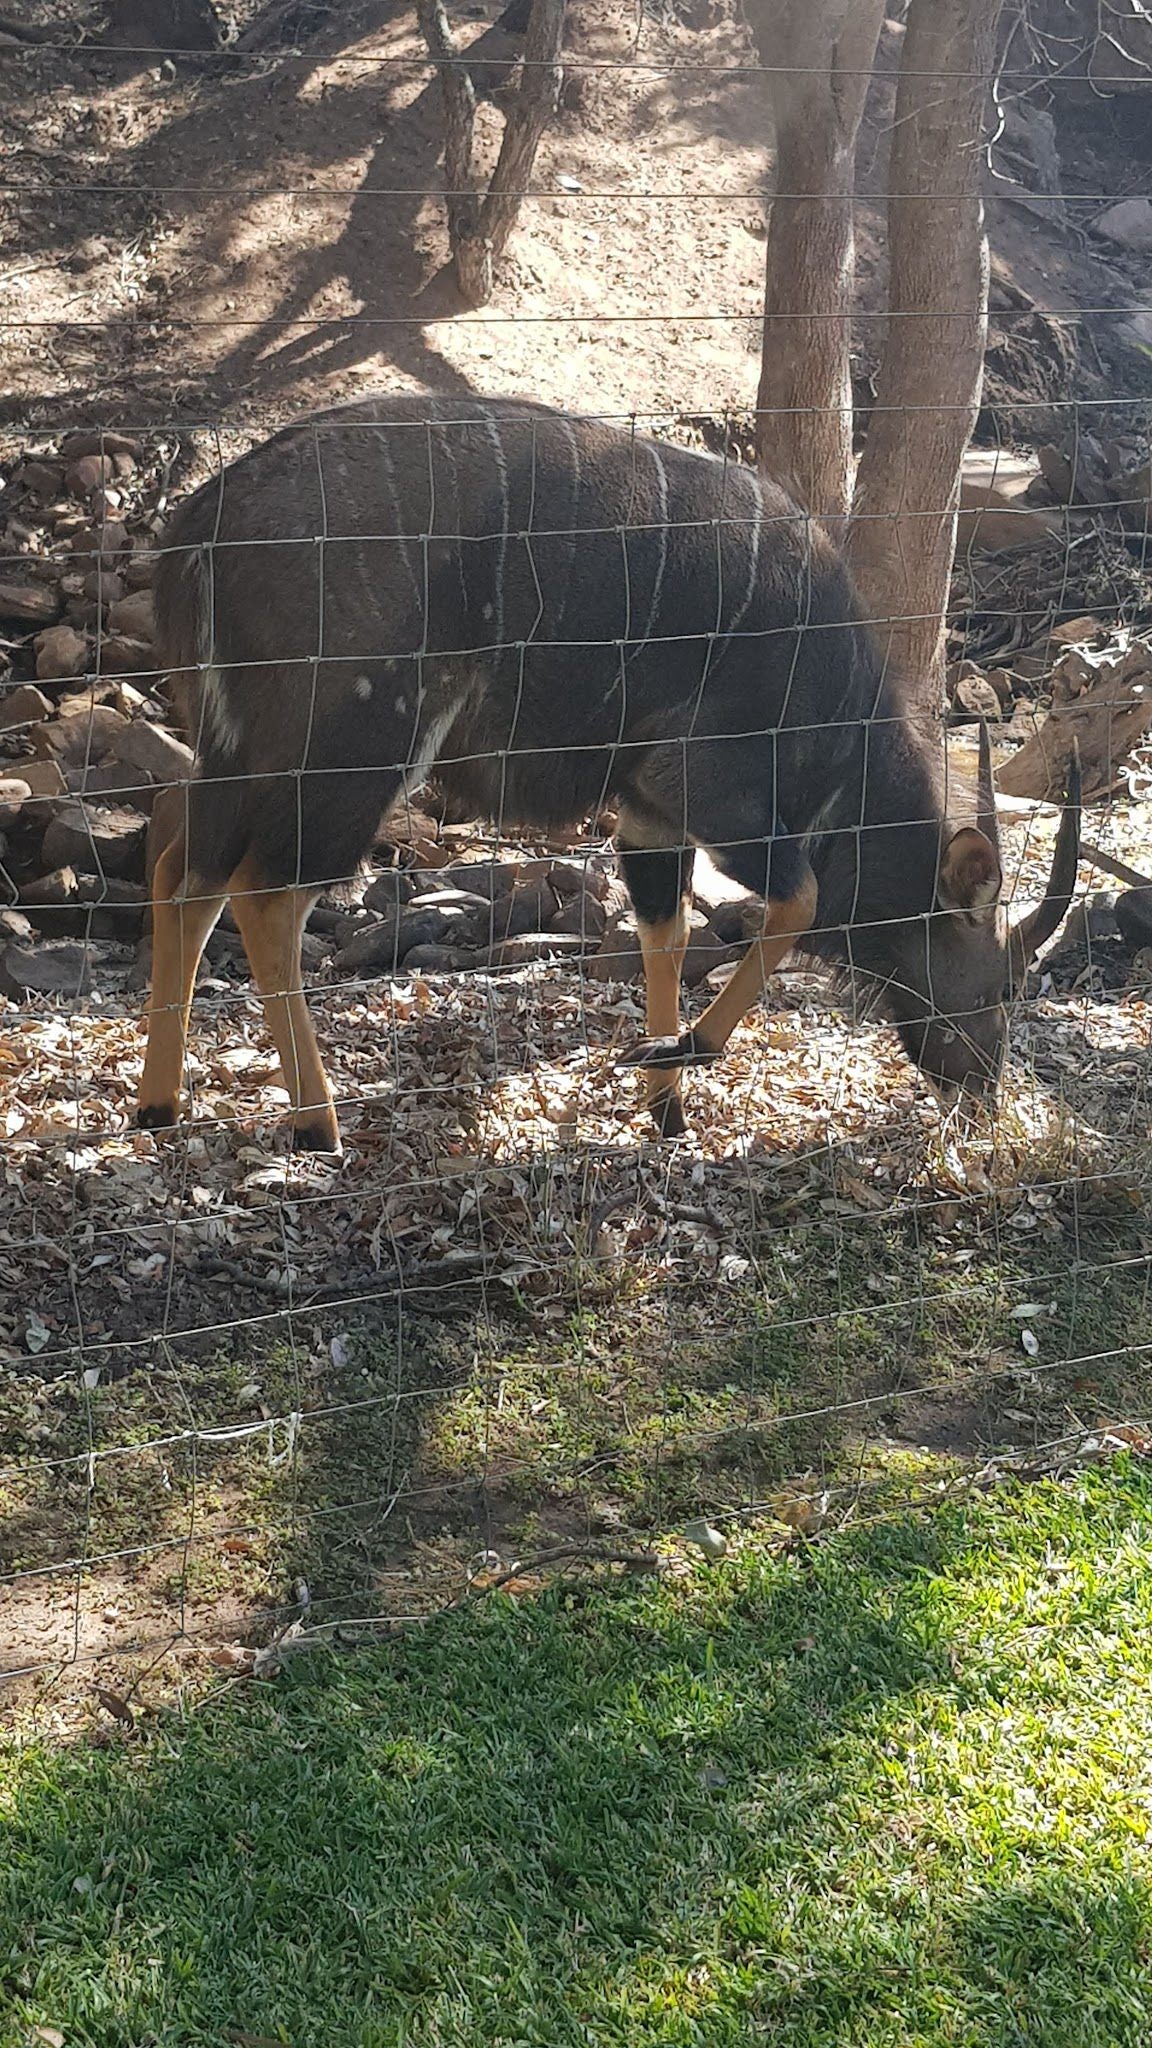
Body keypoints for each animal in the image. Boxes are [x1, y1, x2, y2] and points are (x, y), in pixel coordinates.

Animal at [134, 397, 1074, 1155]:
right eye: (1005, 982)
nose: (982, 1095)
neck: (837, 724)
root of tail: (195, 535)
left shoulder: (652, 815)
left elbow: (666, 932)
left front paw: (667, 1106)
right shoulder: (717, 800)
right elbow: (798, 902)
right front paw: (684, 1050)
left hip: (234, 757)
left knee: (183, 874)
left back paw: (159, 1105)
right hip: (353, 756)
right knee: (265, 897)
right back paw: (314, 1121)